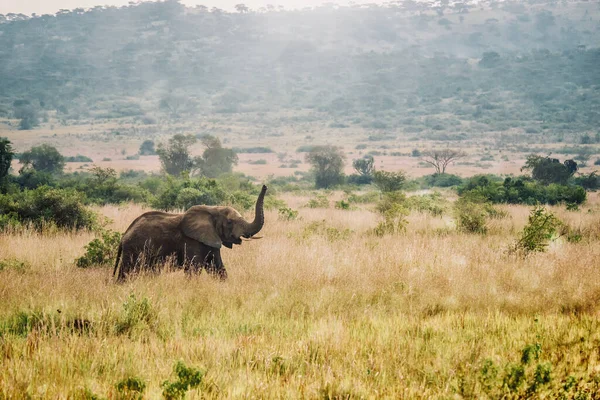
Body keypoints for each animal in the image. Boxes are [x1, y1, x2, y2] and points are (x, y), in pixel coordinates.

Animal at [113, 185, 268, 282]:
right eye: (230, 222)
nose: (265, 186)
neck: (213, 209)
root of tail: (124, 235)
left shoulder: (212, 239)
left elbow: (217, 267)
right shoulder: (191, 241)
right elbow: (194, 269)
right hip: (134, 249)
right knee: (127, 271)